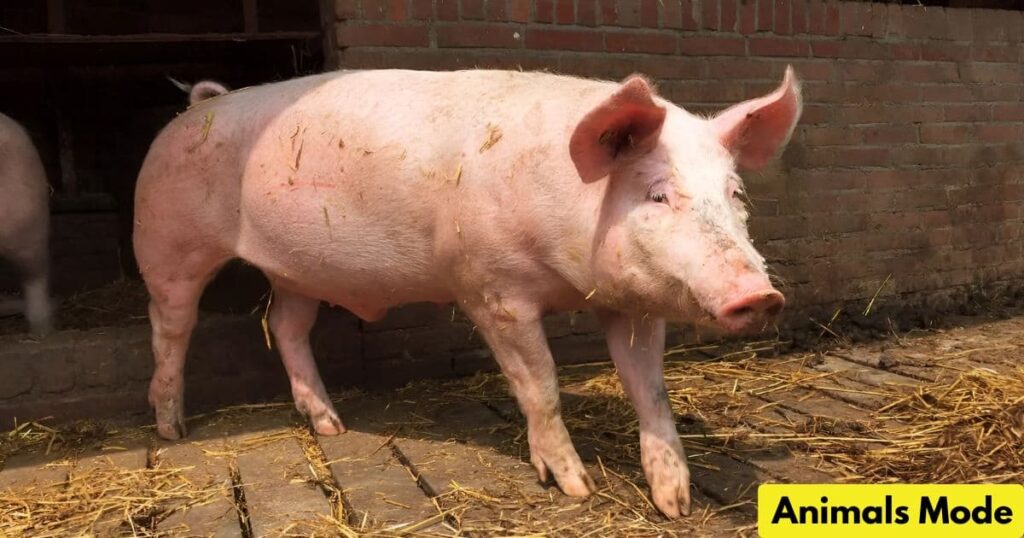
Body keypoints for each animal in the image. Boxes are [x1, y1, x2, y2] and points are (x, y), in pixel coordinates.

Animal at [134, 67, 801, 518]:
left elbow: (651, 391)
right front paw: (577, 487)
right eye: (658, 194)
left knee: (287, 327)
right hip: (168, 245)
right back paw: (172, 430)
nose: (761, 296)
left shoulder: (632, 305)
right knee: (170, 328)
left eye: (735, 193)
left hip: (299, 270)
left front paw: (675, 503)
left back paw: (332, 427)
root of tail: (196, 108)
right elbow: (541, 386)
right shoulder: (493, 290)